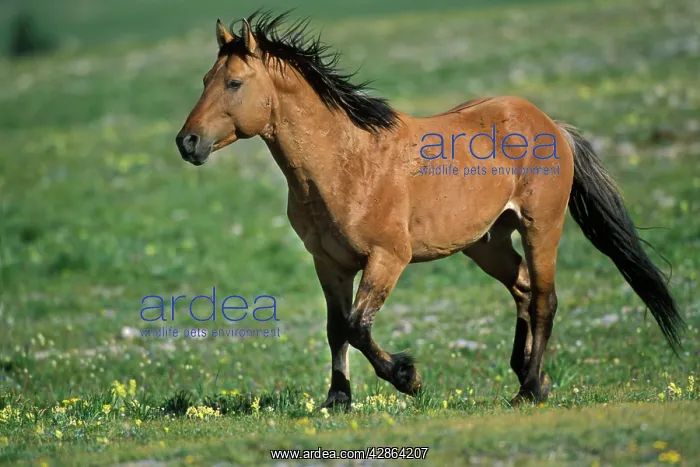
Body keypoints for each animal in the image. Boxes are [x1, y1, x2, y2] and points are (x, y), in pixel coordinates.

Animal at [175, 12, 683, 410]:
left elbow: (358, 326)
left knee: (544, 298)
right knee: (522, 288)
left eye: (234, 83)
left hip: (541, 226)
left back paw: (530, 390)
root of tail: (551, 125)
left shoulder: (387, 258)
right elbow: (336, 328)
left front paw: (408, 377)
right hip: (486, 243)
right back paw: (525, 373)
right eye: (203, 81)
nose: (187, 143)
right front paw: (337, 399)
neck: (345, 164)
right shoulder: (329, 264)